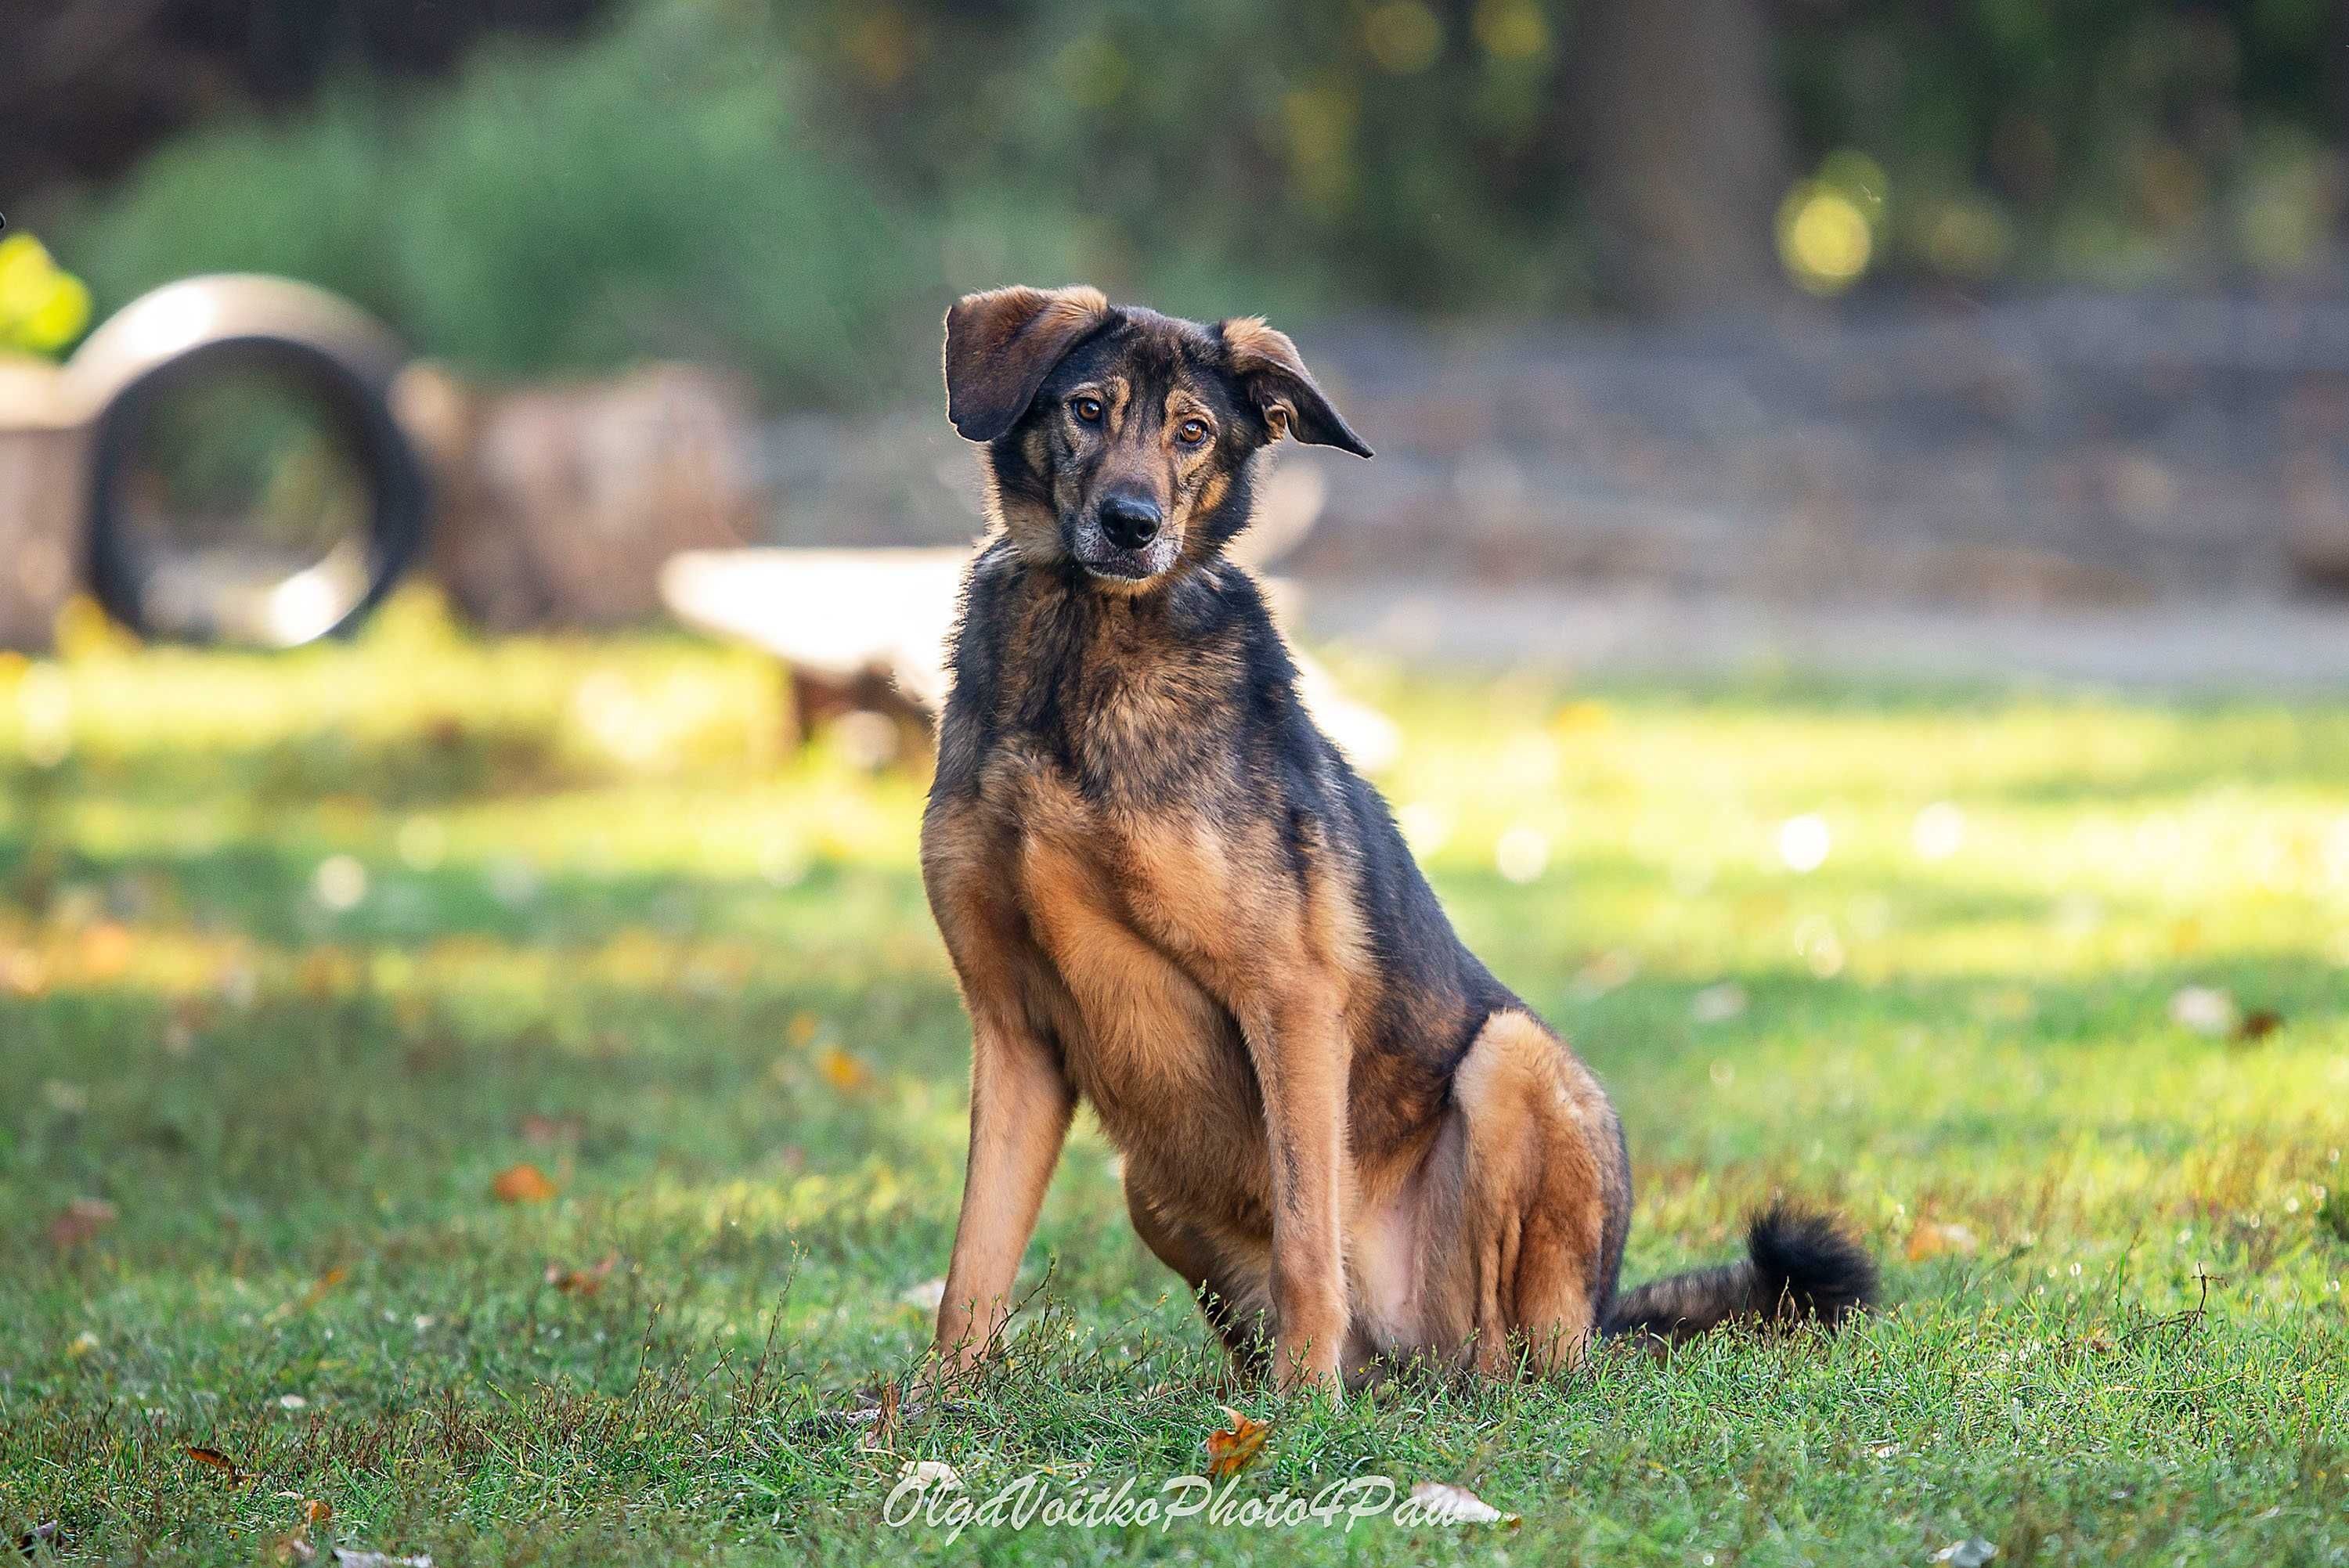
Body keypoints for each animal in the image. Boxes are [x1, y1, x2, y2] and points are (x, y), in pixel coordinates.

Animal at [916, 287, 1870, 1390]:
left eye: (1192, 432)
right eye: (1085, 409)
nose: (1130, 524)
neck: (1079, 645)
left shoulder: (1288, 998)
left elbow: (1303, 1236)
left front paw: (1299, 1403)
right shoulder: (1014, 1031)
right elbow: (973, 1265)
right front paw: (930, 1407)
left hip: (1512, 1067)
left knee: (1508, 1354)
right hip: (1148, 1184)